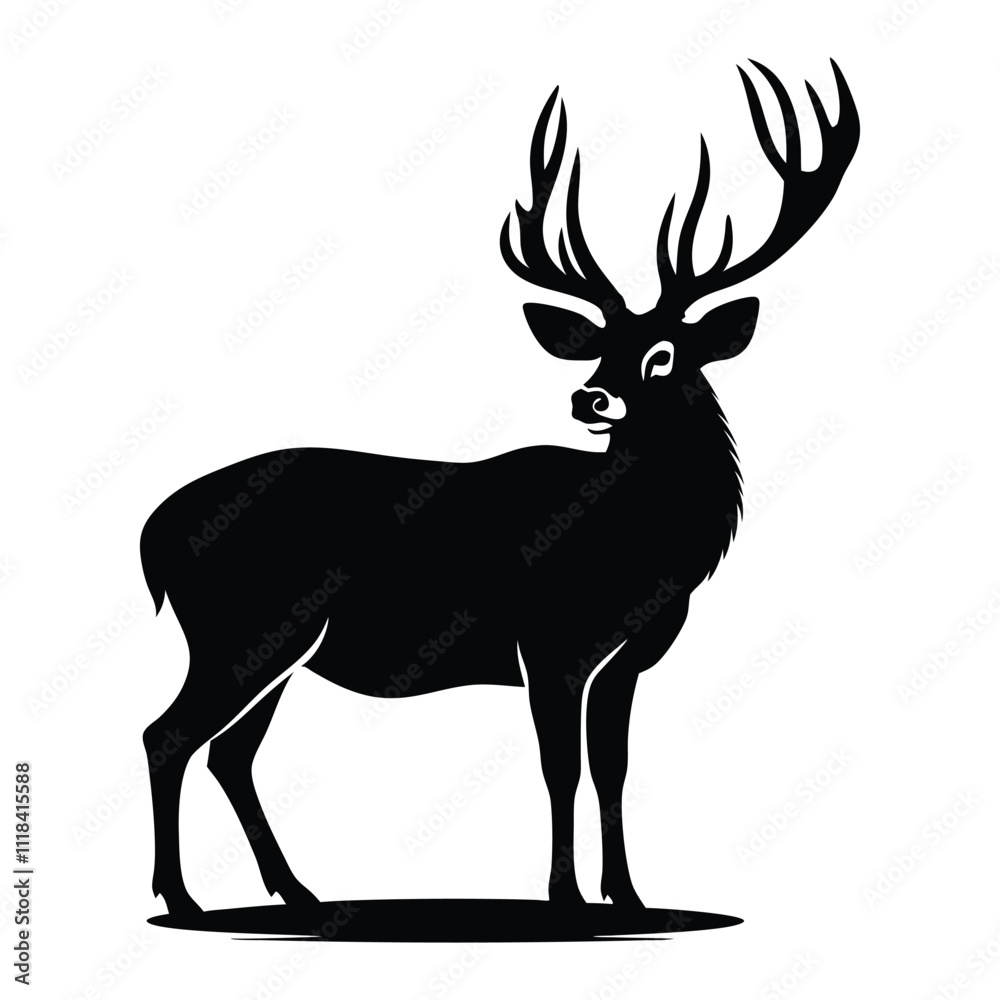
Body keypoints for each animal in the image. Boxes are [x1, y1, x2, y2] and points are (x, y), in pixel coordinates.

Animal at [140, 60, 858, 918]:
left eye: (661, 355)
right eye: (599, 348)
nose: (589, 397)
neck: (643, 550)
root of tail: (152, 532)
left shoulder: (624, 660)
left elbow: (613, 769)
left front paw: (629, 896)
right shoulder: (548, 639)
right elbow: (561, 767)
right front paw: (567, 900)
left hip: (269, 645)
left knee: (228, 753)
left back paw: (298, 891)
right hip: (245, 628)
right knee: (168, 735)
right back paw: (183, 899)